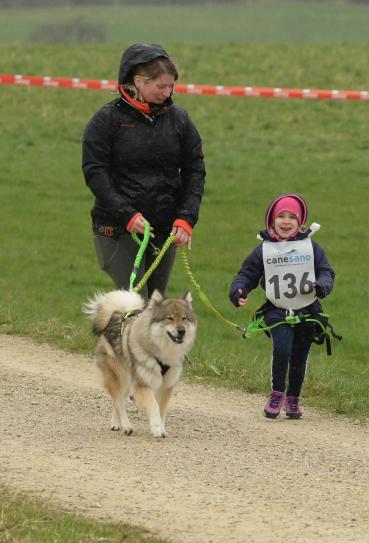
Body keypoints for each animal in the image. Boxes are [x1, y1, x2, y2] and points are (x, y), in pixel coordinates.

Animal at [83, 288, 196, 438]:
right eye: (169, 318)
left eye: (184, 318)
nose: (181, 331)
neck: (163, 352)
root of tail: (118, 314)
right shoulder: (142, 384)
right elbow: (154, 406)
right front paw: (156, 428)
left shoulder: (166, 387)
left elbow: (162, 410)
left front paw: (161, 428)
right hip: (120, 377)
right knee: (118, 401)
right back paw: (126, 426)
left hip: (127, 382)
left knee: (117, 401)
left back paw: (116, 423)